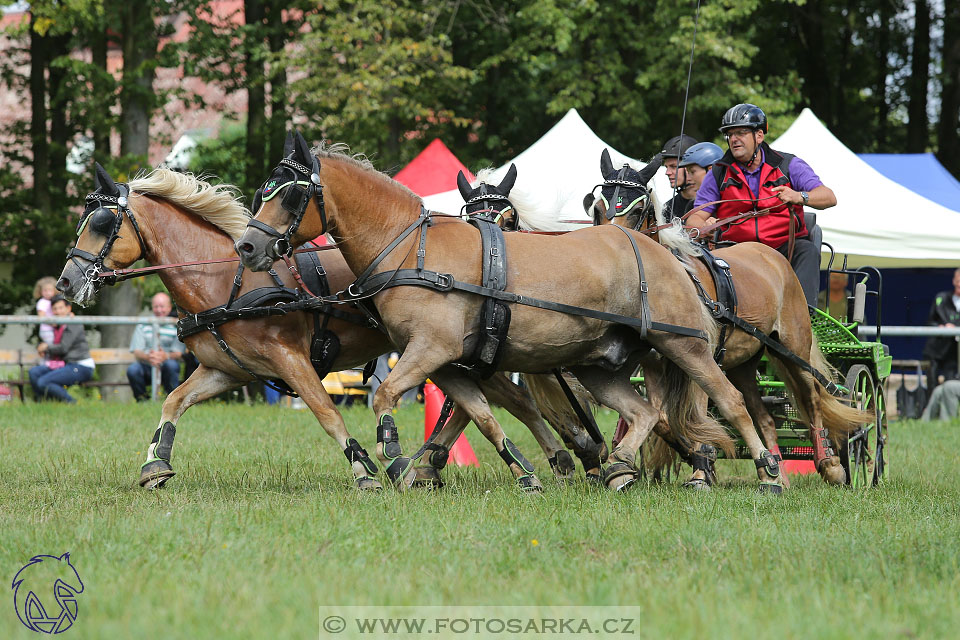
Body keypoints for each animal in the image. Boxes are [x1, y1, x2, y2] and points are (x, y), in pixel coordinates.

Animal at [52, 164, 604, 490]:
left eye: (101, 223)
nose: (65, 281)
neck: (227, 283)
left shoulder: (292, 361)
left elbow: (325, 411)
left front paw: (364, 467)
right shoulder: (227, 371)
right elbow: (172, 402)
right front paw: (155, 465)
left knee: (508, 402)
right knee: (506, 403)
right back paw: (550, 459)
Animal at [580, 148, 868, 482]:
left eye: (638, 210)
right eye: (598, 208)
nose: (606, 245)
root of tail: (771, 255)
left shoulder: (699, 355)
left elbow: (699, 411)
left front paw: (701, 469)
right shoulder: (655, 365)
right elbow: (662, 418)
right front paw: (692, 456)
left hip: (794, 345)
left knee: (812, 398)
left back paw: (829, 464)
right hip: (744, 363)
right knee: (764, 417)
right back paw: (776, 473)